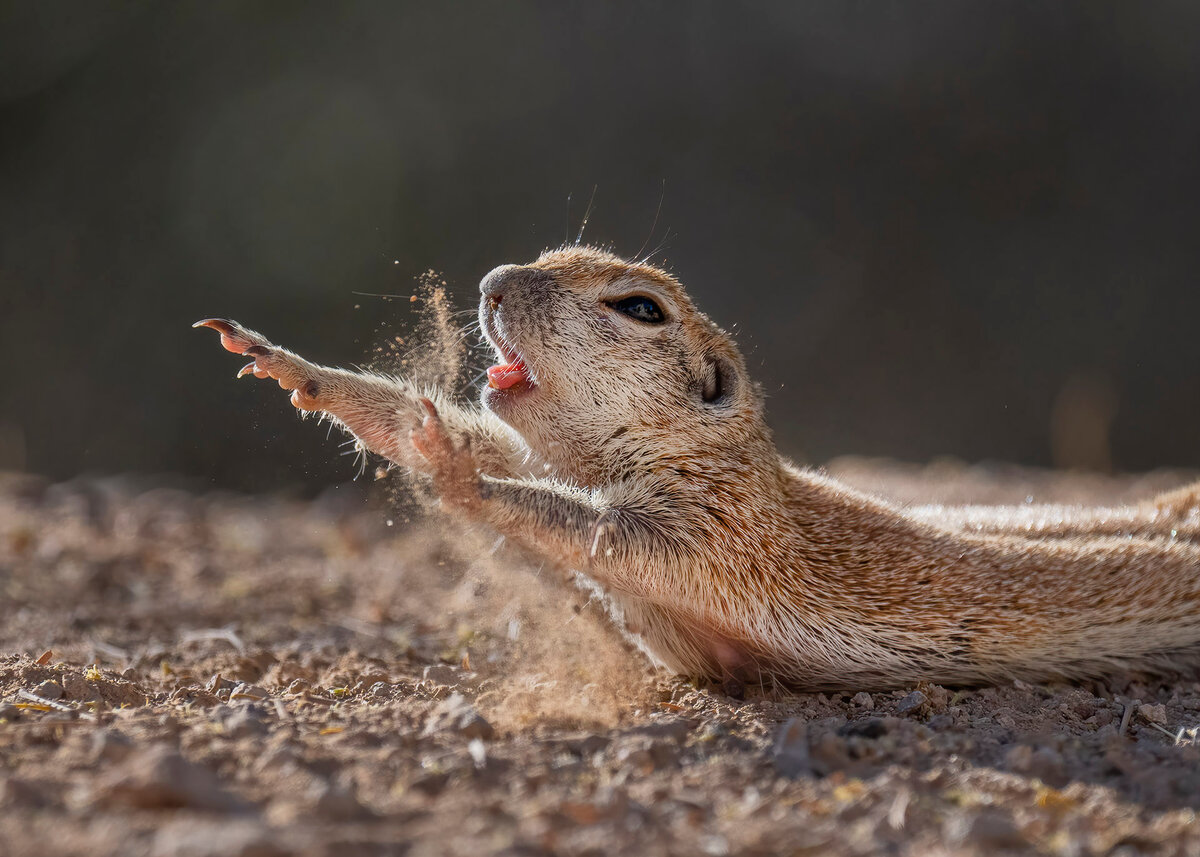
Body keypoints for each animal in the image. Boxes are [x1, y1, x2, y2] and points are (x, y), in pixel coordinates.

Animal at [196, 244, 1200, 686]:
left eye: (640, 307)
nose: (489, 283)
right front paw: (299, 371)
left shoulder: (720, 534)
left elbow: (597, 532)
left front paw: (455, 476)